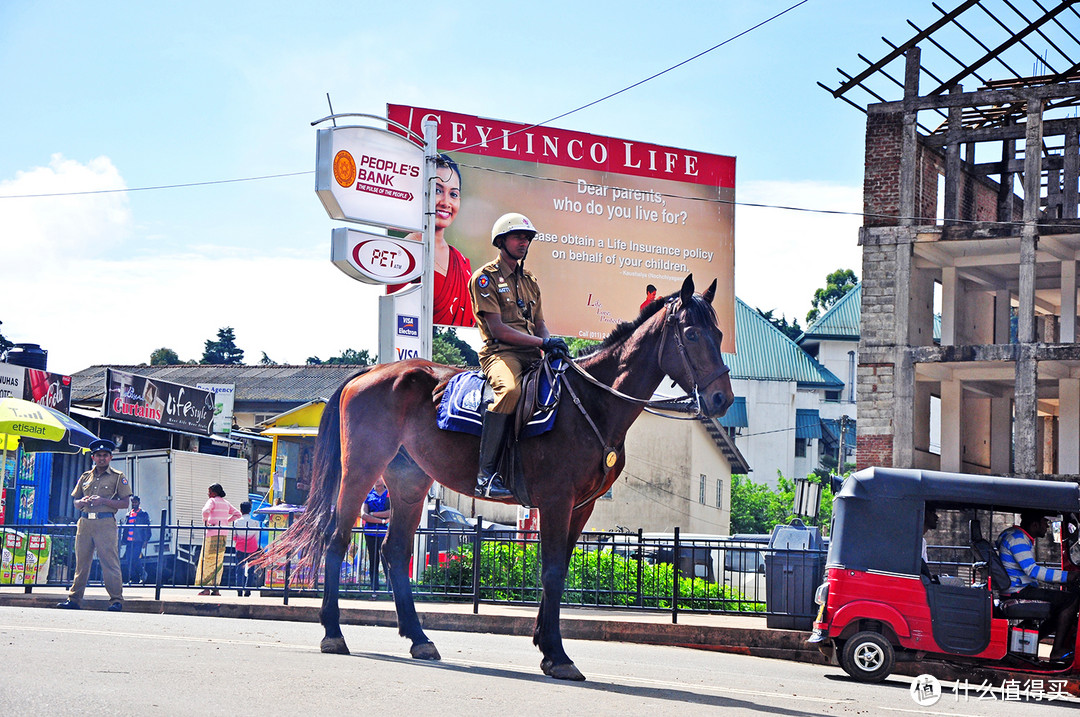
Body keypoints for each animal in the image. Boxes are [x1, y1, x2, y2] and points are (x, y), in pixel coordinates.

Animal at [261, 275, 734, 682]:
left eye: (719, 334)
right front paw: (557, 654)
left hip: (409, 483)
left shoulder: (581, 507)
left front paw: (546, 646)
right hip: (360, 469)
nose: (721, 399)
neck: (591, 402)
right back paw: (333, 632)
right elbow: (551, 571)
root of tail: (368, 373)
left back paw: (419, 638)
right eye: (692, 334)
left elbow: (559, 569)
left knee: (394, 552)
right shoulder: (557, 501)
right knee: (337, 537)